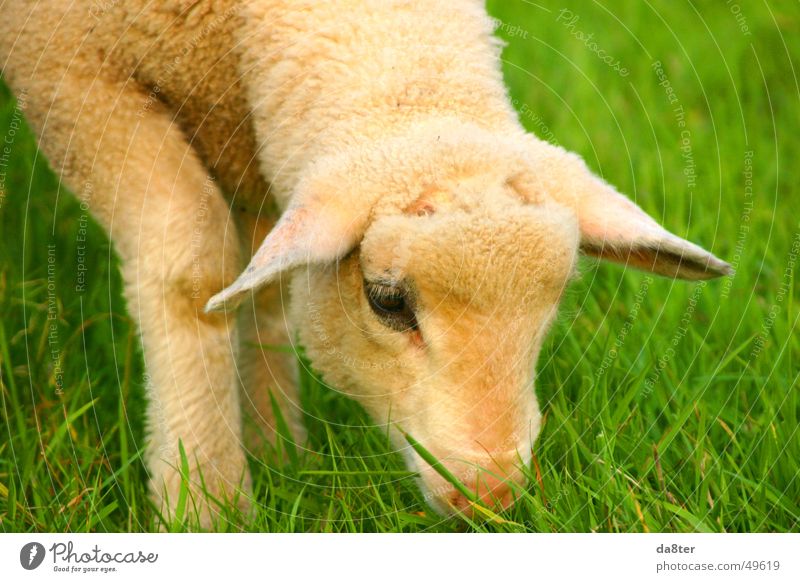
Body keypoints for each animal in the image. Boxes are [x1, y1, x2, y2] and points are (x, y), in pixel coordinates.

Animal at [0, 0, 732, 528]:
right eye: (387, 301)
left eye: (550, 306)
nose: (491, 497)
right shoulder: (71, 74)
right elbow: (194, 264)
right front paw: (206, 506)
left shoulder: (254, 129)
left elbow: (266, 288)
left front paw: (280, 454)